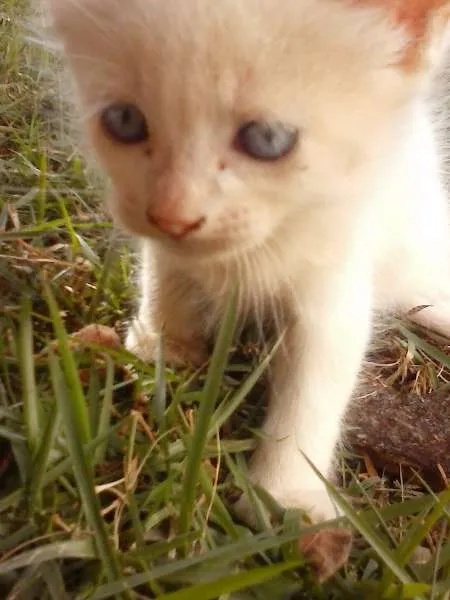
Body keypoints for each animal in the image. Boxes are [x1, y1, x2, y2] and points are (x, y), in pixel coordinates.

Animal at [45, 0, 450, 524]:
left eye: (267, 139)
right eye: (124, 120)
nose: (173, 216)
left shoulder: (336, 276)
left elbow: (314, 385)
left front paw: (286, 496)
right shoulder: (165, 247)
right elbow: (164, 277)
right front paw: (160, 345)